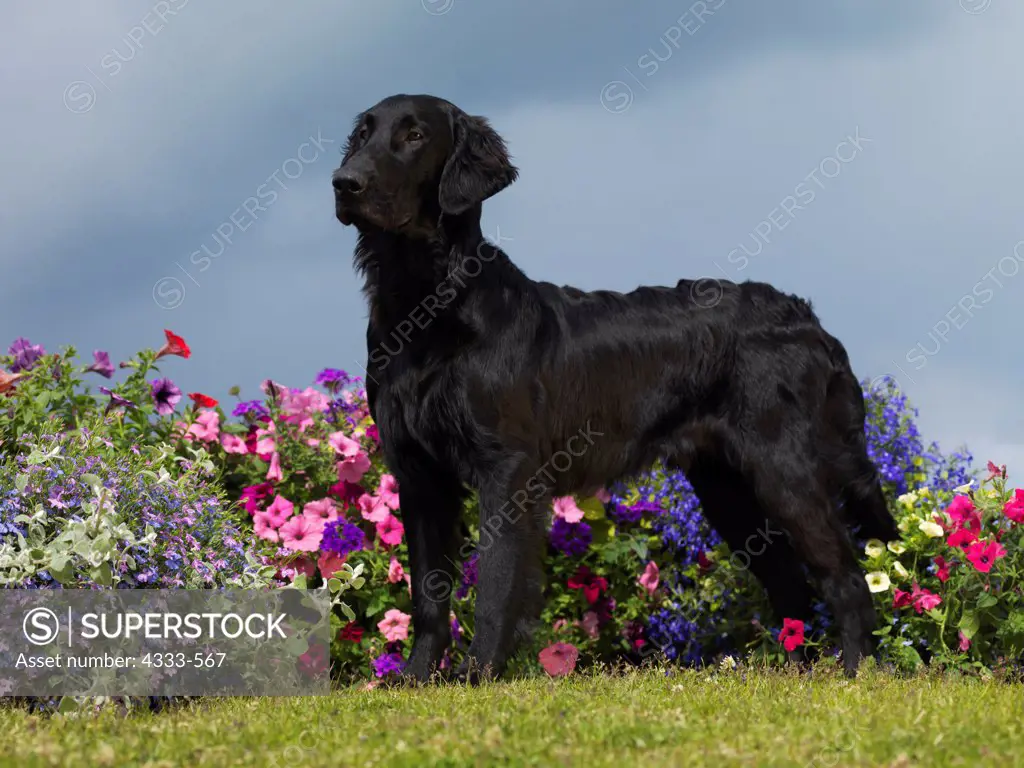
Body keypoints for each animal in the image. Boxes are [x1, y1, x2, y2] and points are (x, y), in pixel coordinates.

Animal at [333, 94, 897, 679]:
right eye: (364, 134)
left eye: (415, 135)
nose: (343, 182)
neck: (425, 305)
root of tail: (808, 319)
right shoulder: (417, 473)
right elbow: (427, 593)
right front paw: (416, 679)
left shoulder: (506, 468)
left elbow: (495, 585)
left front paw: (478, 675)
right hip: (727, 488)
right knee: (790, 585)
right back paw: (795, 677)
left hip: (783, 467)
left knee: (846, 577)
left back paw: (855, 672)